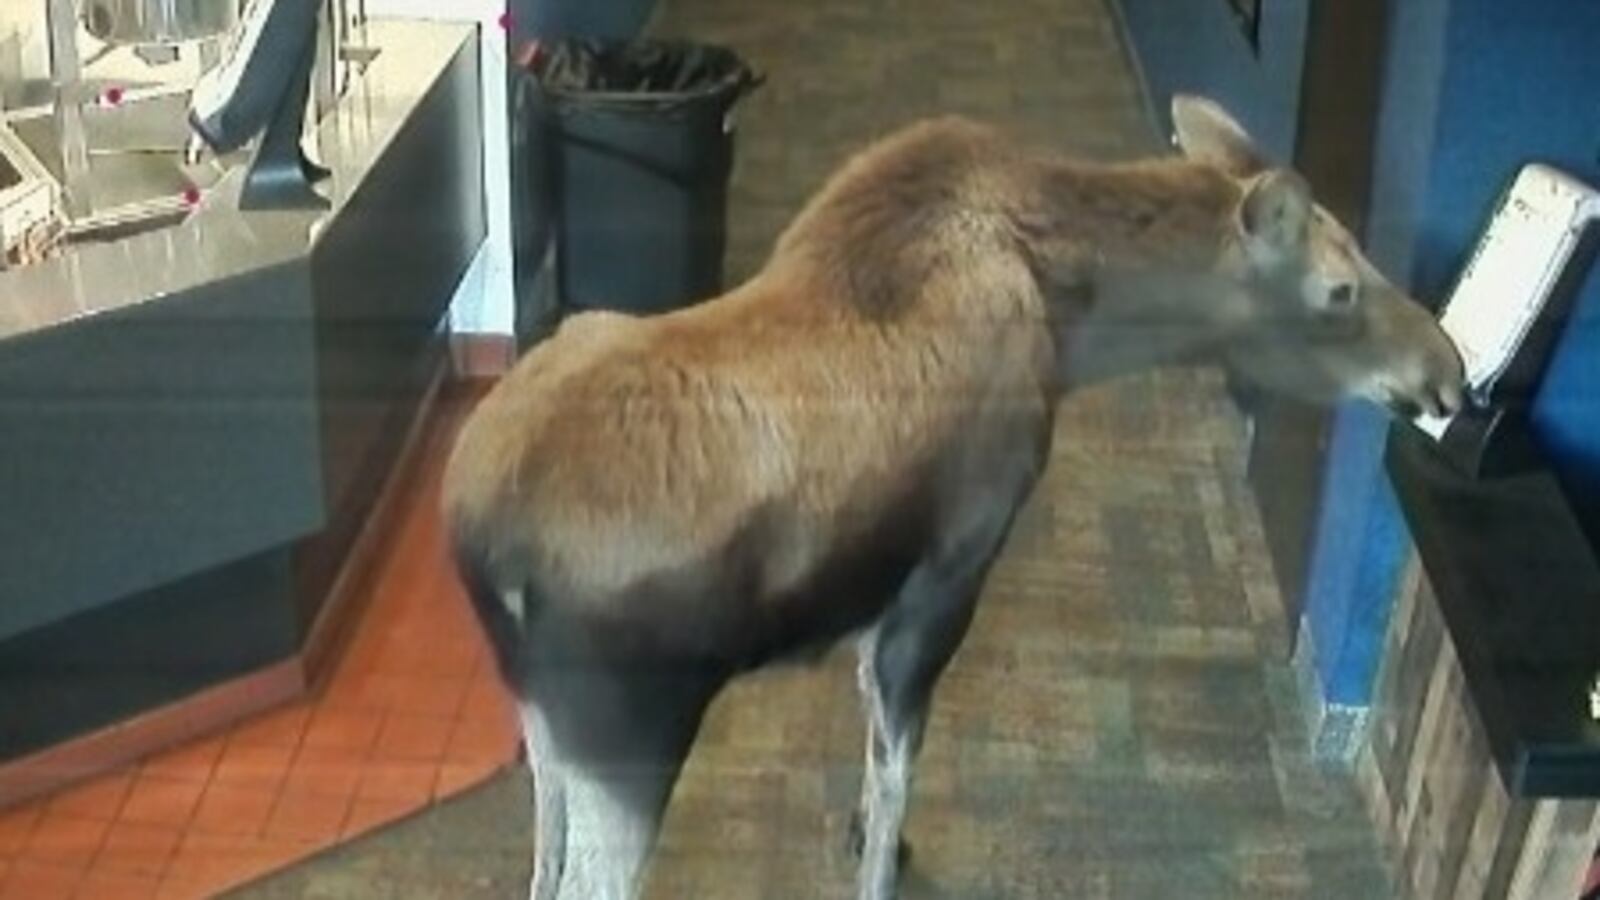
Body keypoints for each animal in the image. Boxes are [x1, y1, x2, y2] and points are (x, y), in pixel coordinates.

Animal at [441, 95, 1465, 900]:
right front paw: (882, 861)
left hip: (542, 715)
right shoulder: (952, 567)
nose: (1448, 372)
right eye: (1340, 288)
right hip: (634, 728)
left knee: (540, 856)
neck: (1076, 332)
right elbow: (899, 766)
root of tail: (484, 534)